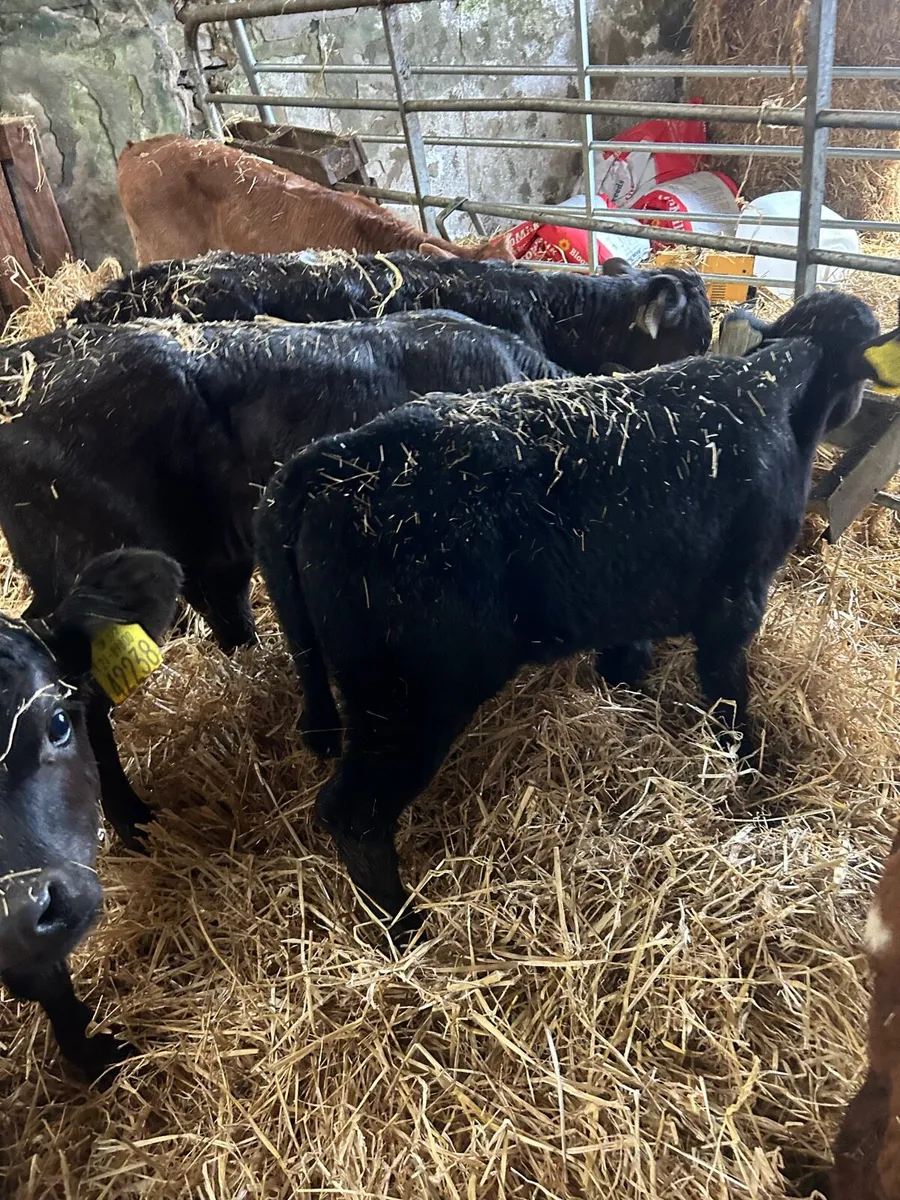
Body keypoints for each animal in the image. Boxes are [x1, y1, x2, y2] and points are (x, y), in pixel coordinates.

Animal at [253, 290, 900, 937]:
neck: (777, 393)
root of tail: (329, 460)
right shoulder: (735, 602)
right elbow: (730, 701)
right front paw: (753, 783)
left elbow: (627, 662)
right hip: (409, 698)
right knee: (353, 814)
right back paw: (405, 928)